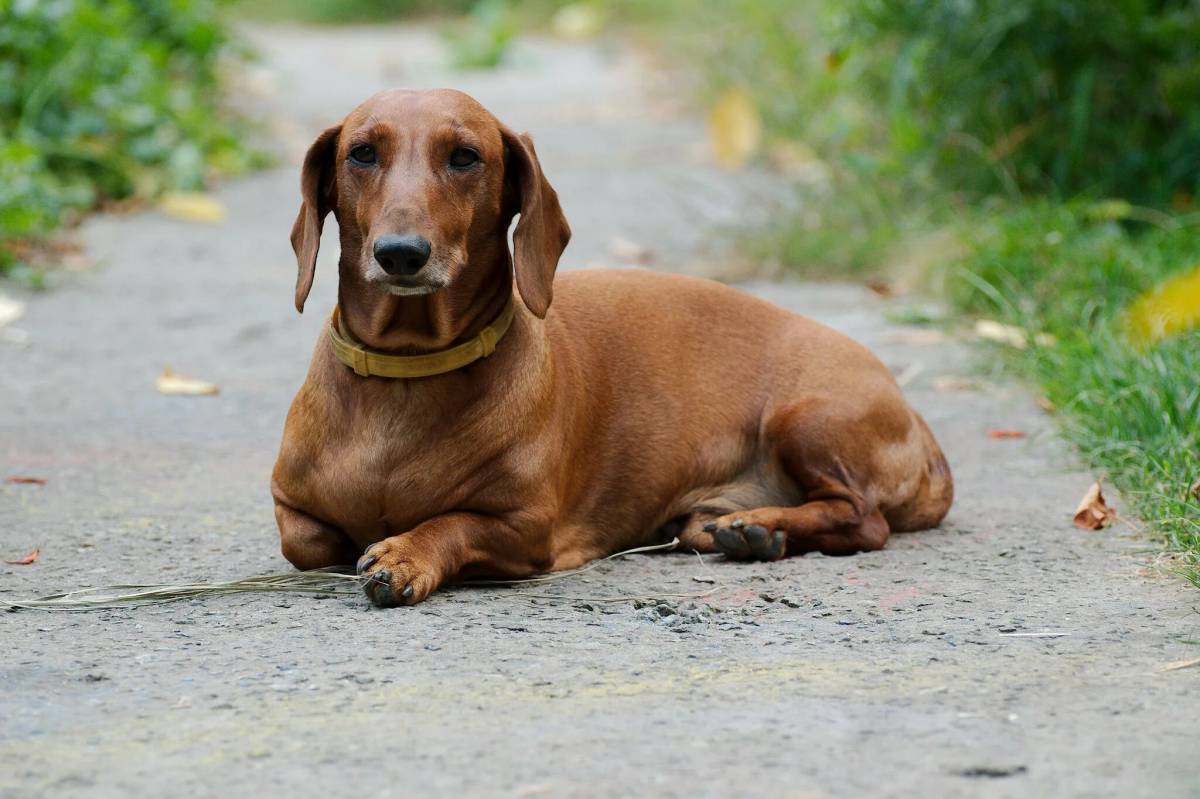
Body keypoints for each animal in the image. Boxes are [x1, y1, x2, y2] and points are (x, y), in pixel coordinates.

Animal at [270, 88, 945, 604]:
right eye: (362, 153)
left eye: (465, 157)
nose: (401, 254)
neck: (408, 373)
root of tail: (912, 412)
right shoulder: (290, 509)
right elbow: (307, 542)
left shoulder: (525, 529)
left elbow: (452, 522)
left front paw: (407, 554)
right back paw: (750, 530)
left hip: (804, 417)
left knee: (864, 518)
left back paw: (759, 527)